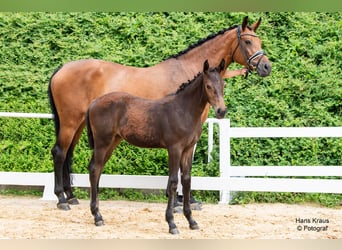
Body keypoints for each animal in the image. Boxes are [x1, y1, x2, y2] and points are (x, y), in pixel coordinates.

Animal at [86, 59, 227, 235]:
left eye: (223, 84)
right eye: (208, 86)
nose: (222, 111)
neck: (183, 110)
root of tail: (93, 103)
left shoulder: (188, 150)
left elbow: (186, 181)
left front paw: (191, 221)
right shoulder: (174, 149)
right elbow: (173, 182)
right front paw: (172, 224)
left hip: (112, 142)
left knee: (97, 169)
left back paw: (98, 214)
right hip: (102, 142)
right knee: (95, 169)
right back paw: (97, 216)